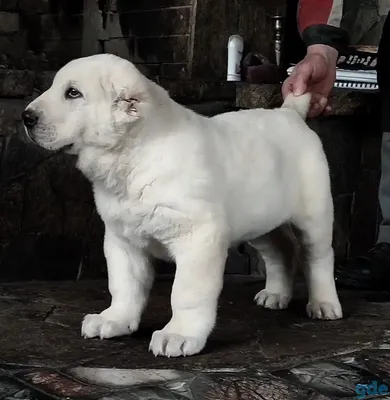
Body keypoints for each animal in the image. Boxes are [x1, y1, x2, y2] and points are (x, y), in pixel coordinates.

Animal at [22, 54, 342, 358]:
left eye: (73, 93)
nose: (26, 117)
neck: (134, 158)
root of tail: (289, 113)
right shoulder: (122, 238)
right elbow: (124, 284)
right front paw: (114, 320)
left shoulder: (198, 236)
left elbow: (187, 292)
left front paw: (179, 335)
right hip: (260, 218)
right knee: (281, 249)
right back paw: (275, 295)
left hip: (314, 213)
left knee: (318, 256)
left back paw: (324, 303)